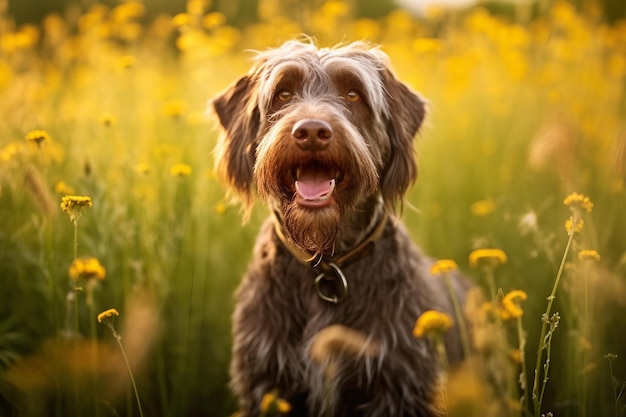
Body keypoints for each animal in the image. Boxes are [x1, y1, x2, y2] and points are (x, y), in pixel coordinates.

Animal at [210, 39, 468, 416]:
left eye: (353, 94)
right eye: (283, 93)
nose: (311, 132)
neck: (326, 266)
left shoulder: (397, 389)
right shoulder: (266, 384)